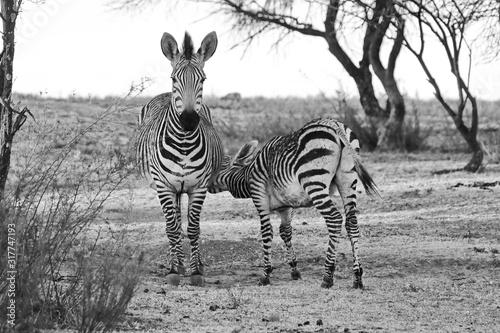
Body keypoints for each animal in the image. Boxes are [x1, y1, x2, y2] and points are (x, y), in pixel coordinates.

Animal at [136, 30, 224, 286]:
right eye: (174, 78)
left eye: (202, 80)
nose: (188, 120)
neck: (184, 143)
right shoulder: (164, 185)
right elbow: (173, 228)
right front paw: (175, 270)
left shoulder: (199, 186)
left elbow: (193, 228)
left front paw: (195, 272)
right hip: (167, 186)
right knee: (172, 221)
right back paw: (176, 262)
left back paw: (195, 263)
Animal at [208, 117, 378, 288]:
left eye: (215, 166)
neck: (248, 176)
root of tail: (335, 125)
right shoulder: (285, 206)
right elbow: (286, 232)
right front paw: (294, 270)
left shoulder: (259, 197)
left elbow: (266, 232)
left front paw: (265, 275)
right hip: (348, 179)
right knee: (352, 223)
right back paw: (357, 277)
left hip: (314, 181)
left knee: (334, 219)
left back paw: (328, 276)